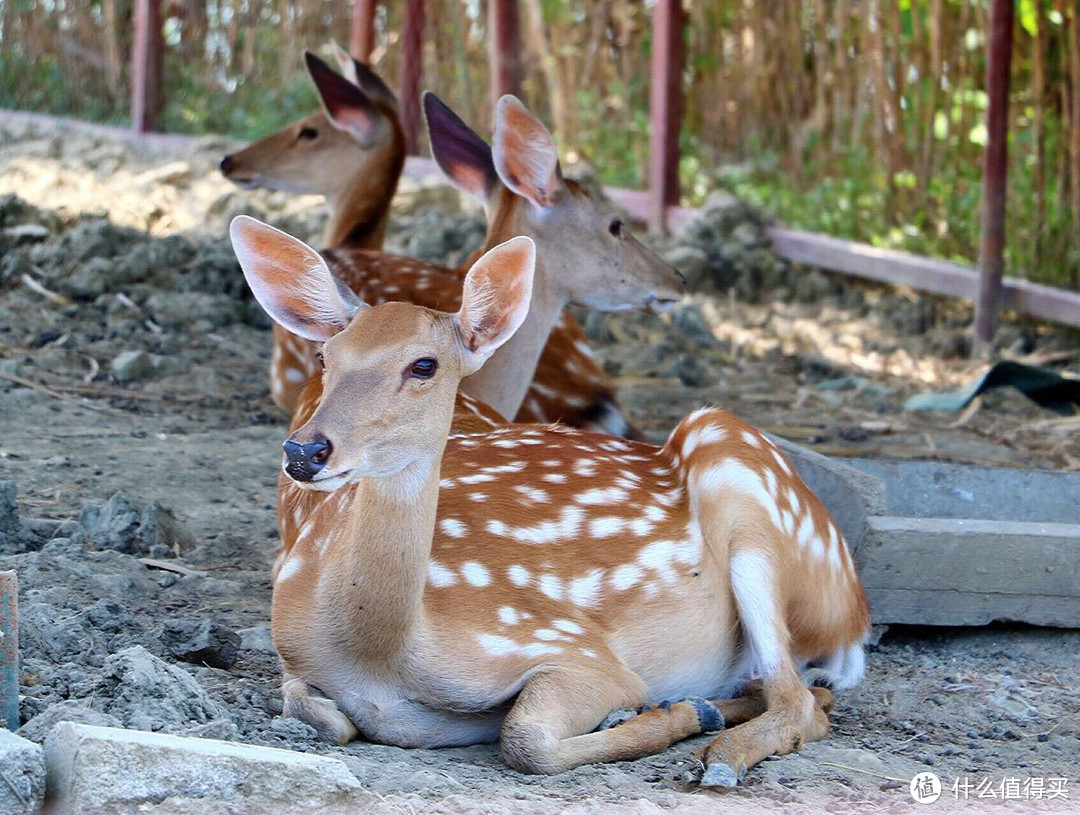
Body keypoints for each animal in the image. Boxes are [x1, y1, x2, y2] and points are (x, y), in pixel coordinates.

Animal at [232, 213, 872, 785]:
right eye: (325, 357)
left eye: (424, 365)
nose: (305, 450)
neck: (379, 656)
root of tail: (854, 614)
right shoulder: (293, 658)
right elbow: (318, 713)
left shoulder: (568, 646)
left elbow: (526, 739)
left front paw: (670, 712)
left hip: (742, 477)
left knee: (799, 700)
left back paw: (717, 750)